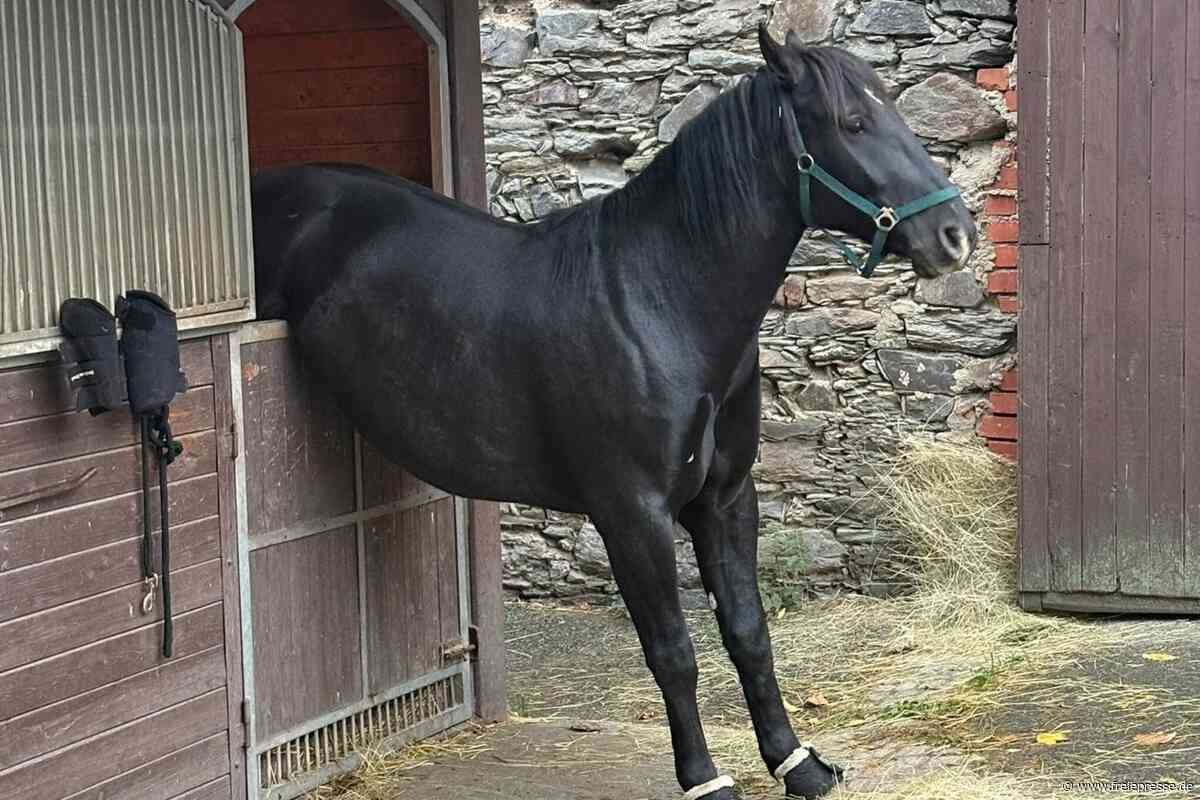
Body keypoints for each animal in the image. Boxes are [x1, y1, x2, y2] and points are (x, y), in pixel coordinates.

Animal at [249, 24, 976, 800]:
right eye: (852, 122)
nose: (956, 234)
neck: (659, 304)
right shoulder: (633, 515)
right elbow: (673, 652)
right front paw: (705, 780)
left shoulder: (727, 500)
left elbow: (749, 633)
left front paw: (796, 762)